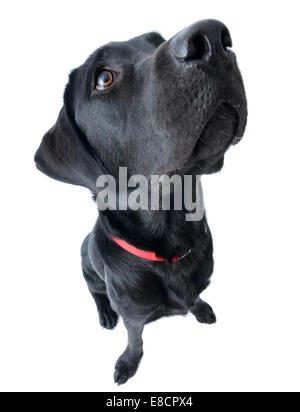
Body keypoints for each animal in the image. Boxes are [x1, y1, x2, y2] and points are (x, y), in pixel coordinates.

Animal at [35, 20, 247, 384]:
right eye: (104, 78)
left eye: (156, 41)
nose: (213, 38)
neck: (170, 244)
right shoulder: (134, 316)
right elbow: (135, 340)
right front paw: (127, 362)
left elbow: (196, 297)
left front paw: (200, 307)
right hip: (88, 269)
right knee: (95, 292)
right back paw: (105, 314)